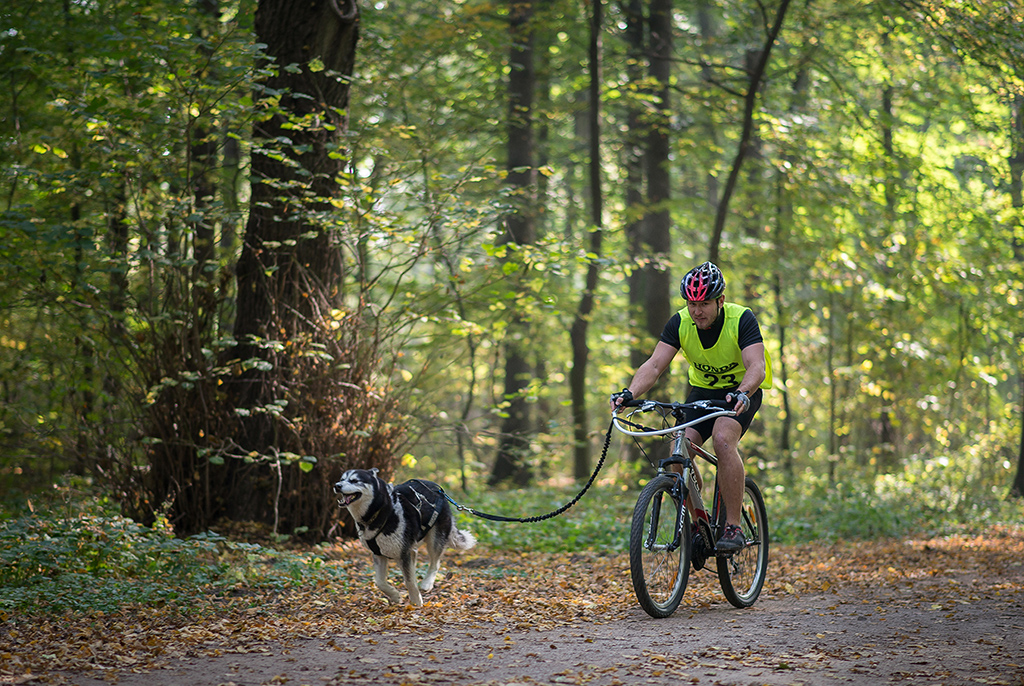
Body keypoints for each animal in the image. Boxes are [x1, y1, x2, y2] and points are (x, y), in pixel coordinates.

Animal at [333, 468, 476, 606]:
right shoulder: (379, 554)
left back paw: (427, 583)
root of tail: (438, 489)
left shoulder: (405, 553)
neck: (381, 511)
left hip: (434, 540)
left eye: (354, 480)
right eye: (341, 479)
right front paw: (395, 595)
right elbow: (380, 582)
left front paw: (417, 602)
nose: (337, 485)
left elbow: (410, 581)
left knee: (435, 563)